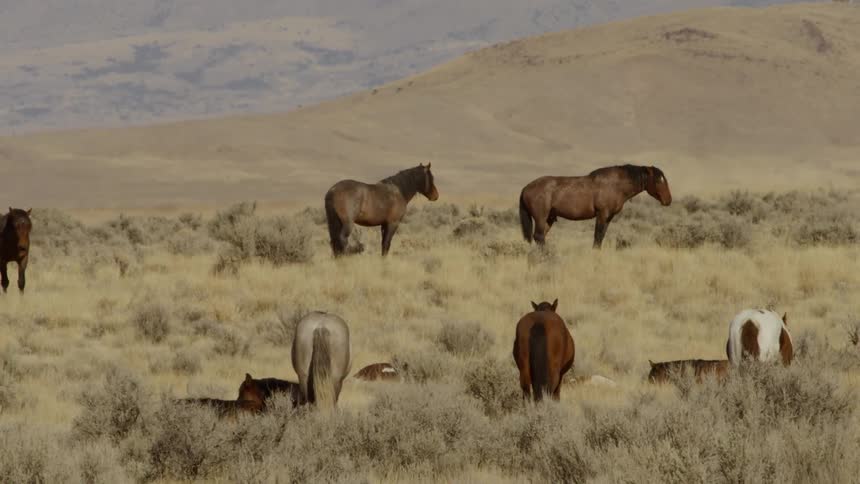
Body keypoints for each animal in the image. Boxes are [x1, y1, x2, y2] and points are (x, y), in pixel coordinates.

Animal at [519, 164, 672, 248]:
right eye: (658, 180)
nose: (668, 200)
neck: (616, 185)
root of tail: (526, 188)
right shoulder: (602, 214)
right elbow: (597, 236)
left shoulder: (609, 217)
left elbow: (601, 236)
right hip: (541, 217)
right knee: (538, 236)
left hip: (549, 219)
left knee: (539, 238)